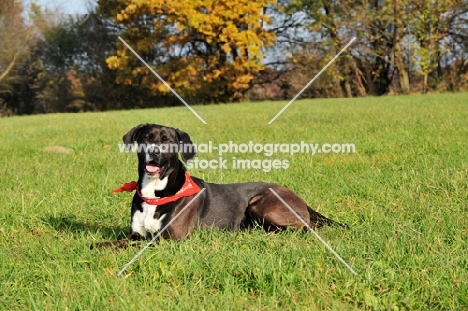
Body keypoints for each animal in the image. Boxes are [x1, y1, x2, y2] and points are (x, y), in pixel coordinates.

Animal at [94, 124, 344, 249]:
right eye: (146, 138)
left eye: (167, 141)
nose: (154, 152)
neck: (156, 192)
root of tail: (302, 200)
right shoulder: (136, 234)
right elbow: (114, 243)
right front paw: (98, 245)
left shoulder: (170, 239)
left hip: (260, 203)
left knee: (305, 228)